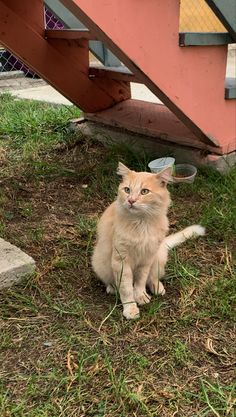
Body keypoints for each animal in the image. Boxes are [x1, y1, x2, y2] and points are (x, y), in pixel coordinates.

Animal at [92, 162, 205, 318]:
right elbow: (126, 288)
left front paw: (140, 296)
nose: (131, 200)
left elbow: (140, 281)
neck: (141, 224)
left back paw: (158, 288)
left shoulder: (147, 258)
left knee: (153, 278)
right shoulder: (121, 260)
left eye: (144, 191)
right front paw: (130, 308)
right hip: (100, 261)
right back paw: (112, 288)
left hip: (158, 258)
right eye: (127, 190)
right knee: (111, 281)